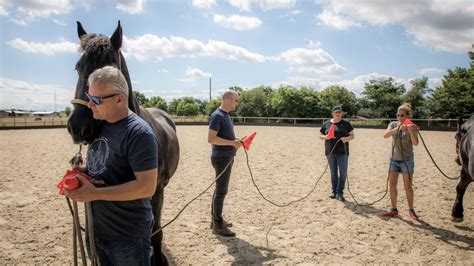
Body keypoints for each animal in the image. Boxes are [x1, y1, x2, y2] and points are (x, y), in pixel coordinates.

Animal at [65, 21, 179, 266]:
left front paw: (158, 258)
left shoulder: (157, 192)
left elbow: (155, 230)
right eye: (78, 67)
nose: (78, 126)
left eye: (110, 67)